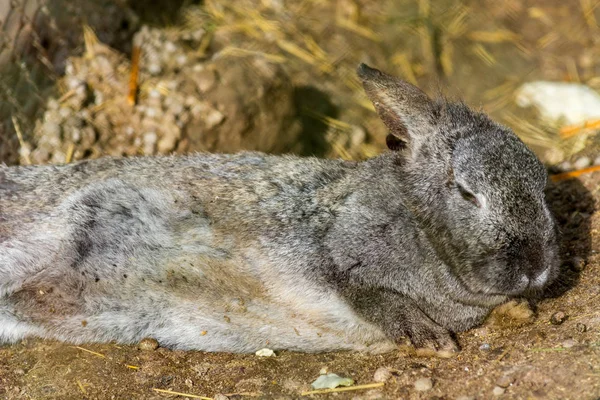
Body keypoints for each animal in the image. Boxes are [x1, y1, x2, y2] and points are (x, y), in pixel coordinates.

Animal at [2, 64, 560, 354]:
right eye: (466, 192)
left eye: (542, 183)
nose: (536, 265)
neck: (421, 229)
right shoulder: (336, 254)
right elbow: (370, 294)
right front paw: (425, 336)